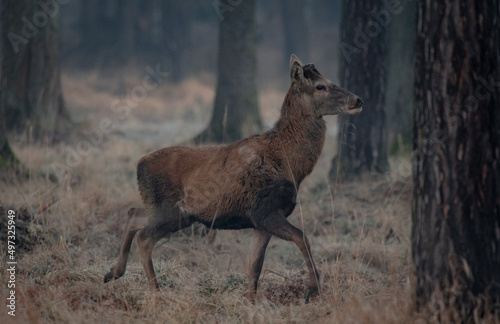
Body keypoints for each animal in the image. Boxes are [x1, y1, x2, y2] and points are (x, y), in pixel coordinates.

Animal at [104, 53, 364, 302]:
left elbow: (255, 267)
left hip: (162, 209)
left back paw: (113, 272)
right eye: (321, 86)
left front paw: (251, 302)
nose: (358, 100)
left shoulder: (260, 221)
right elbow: (302, 237)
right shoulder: (265, 209)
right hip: (173, 211)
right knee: (144, 236)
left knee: (133, 215)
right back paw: (156, 291)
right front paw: (312, 289)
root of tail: (139, 164)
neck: (290, 165)